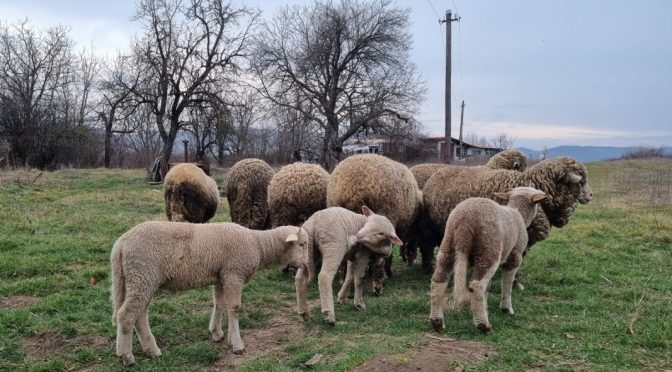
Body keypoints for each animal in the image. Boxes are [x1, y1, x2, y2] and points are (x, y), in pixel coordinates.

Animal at [111, 221, 310, 366]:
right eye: (301, 244)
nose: (307, 265)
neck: (258, 244)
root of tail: (121, 243)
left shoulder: (221, 276)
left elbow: (219, 304)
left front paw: (218, 333)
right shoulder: (233, 273)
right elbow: (234, 308)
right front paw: (237, 344)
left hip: (139, 279)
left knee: (140, 315)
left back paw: (152, 351)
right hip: (142, 274)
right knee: (127, 315)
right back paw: (126, 356)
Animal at [326, 154, 420, 296]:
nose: (411, 261)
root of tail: (350, 188)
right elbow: (387, 255)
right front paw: (387, 273)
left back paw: (344, 284)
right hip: (382, 218)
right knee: (379, 258)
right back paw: (377, 286)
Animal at [422, 155, 592, 286]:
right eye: (580, 181)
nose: (591, 196)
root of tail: (438, 173)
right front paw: (513, 282)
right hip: (430, 226)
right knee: (427, 246)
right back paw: (429, 268)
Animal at [428, 187, 548, 332]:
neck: (518, 213)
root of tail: (465, 220)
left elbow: (488, 286)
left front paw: (485, 307)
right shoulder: (515, 255)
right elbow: (507, 282)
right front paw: (506, 308)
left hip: (448, 246)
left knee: (438, 281)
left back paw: (437, 322)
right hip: (489, 248)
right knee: (477, 285)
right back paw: (483, 325)